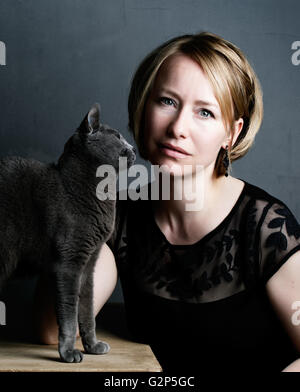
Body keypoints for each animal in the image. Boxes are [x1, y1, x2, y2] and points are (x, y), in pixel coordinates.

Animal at [0, 102, 135, 362]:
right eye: (117, 136)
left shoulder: (89, 264)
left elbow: (87, 309)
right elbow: (69, 312)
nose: (133, 148)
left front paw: (92, 346)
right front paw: (69, 352)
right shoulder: (69, 263)